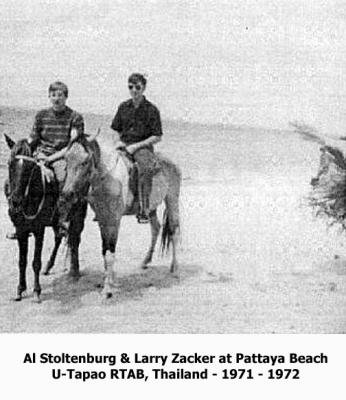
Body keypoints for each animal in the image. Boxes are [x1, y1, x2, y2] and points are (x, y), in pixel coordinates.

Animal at [4, 134, 88, 304]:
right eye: (10, 164)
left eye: (30, 167)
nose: (15, 201)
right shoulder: (21, 230)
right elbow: (22, 261)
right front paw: (20, 290)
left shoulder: (39, 230)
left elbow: (35, 262)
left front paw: (37, 291)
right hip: (56, 221)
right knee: (59, 237)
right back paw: (49, 266)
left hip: (78, 216)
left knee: (75, 239)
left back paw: (74, 271)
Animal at [59, 134, 182, 296]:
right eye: (66, 159)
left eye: (85, 161)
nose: (67, 194)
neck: (108, 178)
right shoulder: (103, 219)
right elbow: (105, 251)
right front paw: (109, 281)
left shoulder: (114, 220)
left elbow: (110, 253)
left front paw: (107, 289)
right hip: (151, 208)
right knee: (156, 228)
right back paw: (145, 262)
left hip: (172, 199)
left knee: (174, 231)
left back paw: (175, 268)